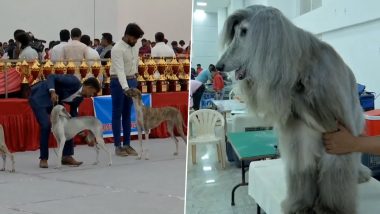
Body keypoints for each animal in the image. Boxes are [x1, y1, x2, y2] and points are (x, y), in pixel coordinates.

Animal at [217, 5, 372, 214]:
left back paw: (360, 173)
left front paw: (331, 208)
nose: (218, 65)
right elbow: (302, 165)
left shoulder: (338, 132)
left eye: (244, 31)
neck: (301, 76)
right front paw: (300, 204)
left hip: (355, 116)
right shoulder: (300, 131)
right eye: (235, 32)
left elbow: (336, 167)